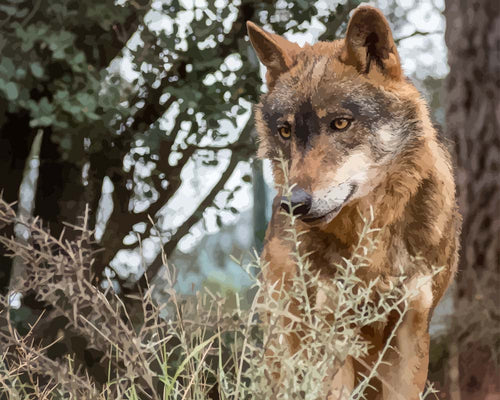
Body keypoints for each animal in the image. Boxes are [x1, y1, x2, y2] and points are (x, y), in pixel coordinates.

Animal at [246, 3, 460, 400]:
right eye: (285, 131)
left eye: (341, 124)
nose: (294, 204)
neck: (371, 241)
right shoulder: (331, 333)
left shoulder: (410, 330)